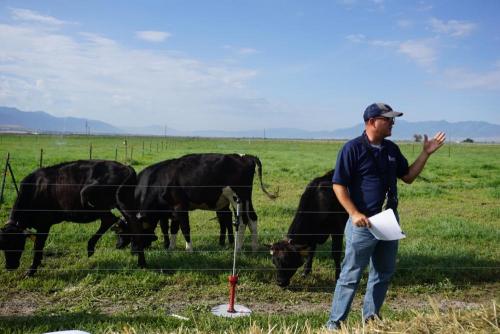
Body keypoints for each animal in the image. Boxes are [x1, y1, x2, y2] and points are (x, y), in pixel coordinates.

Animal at [0, 160, 145, 276]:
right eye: (3, 246)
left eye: (17, 243)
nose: (10, 266)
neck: (34, 190)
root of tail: (126, 167)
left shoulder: (44, 224)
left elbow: (38, 247)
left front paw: (31, 270)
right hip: (122, 203)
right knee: (123, 222)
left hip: (91, 197)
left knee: (112, 219)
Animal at [115, 153, 278, 252]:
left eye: (123, 230)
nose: (118, 246)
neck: (160, 180)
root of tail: (245, 157)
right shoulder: (173, 210)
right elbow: (174, 229)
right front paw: (171, 248)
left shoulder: (180, 206)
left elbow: (185, 228)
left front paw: (189, 249)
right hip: (246, 199)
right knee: (252, 218)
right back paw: (254, 247)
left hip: (236, 197)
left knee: (242, 221)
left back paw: (237, 248)